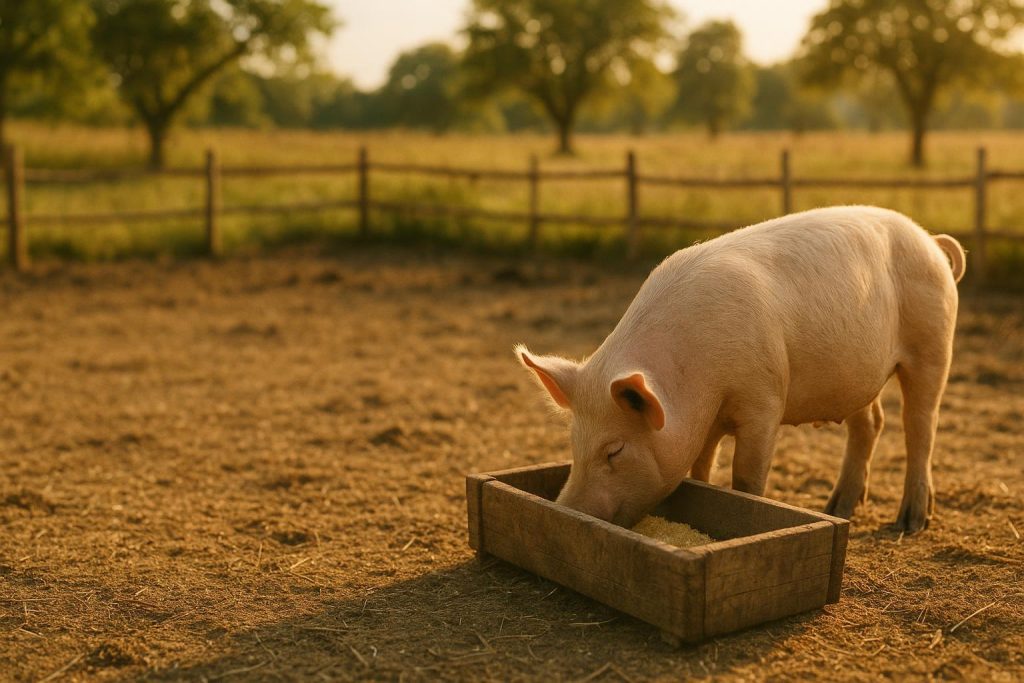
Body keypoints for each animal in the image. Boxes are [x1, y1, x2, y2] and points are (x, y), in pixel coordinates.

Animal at [517, 205, 965, 533]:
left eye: (615, 450)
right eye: (573, 443)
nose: (568, 509)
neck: (699, 383)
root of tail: (930, 240)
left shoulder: (763, 401)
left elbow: (746, 477)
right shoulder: (706, 422)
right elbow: (700, 470)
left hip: (933, 343)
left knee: (920, 425)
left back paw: (910, 523)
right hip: (857, 373)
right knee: (870, 423)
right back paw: (838, 508)